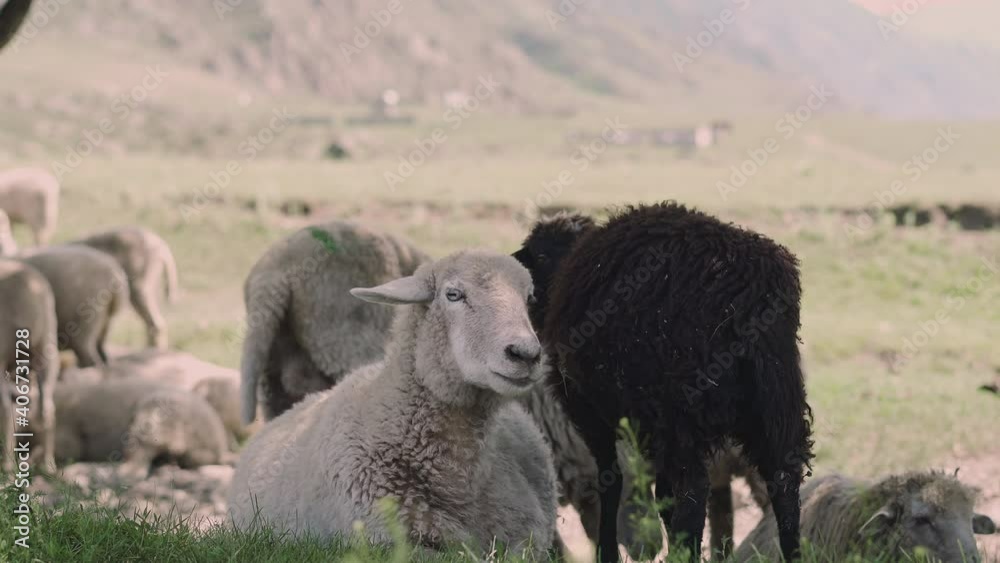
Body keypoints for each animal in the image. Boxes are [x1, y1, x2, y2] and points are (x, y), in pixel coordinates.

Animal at [513, 204, 814, 562]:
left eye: (540, 255)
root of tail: (746, 291)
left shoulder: (589, 412)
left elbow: (611, 482)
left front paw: (608, 552)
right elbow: (662, 495)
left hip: (681, 407)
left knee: (695, 493)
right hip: (777, 401)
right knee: (784, 485)